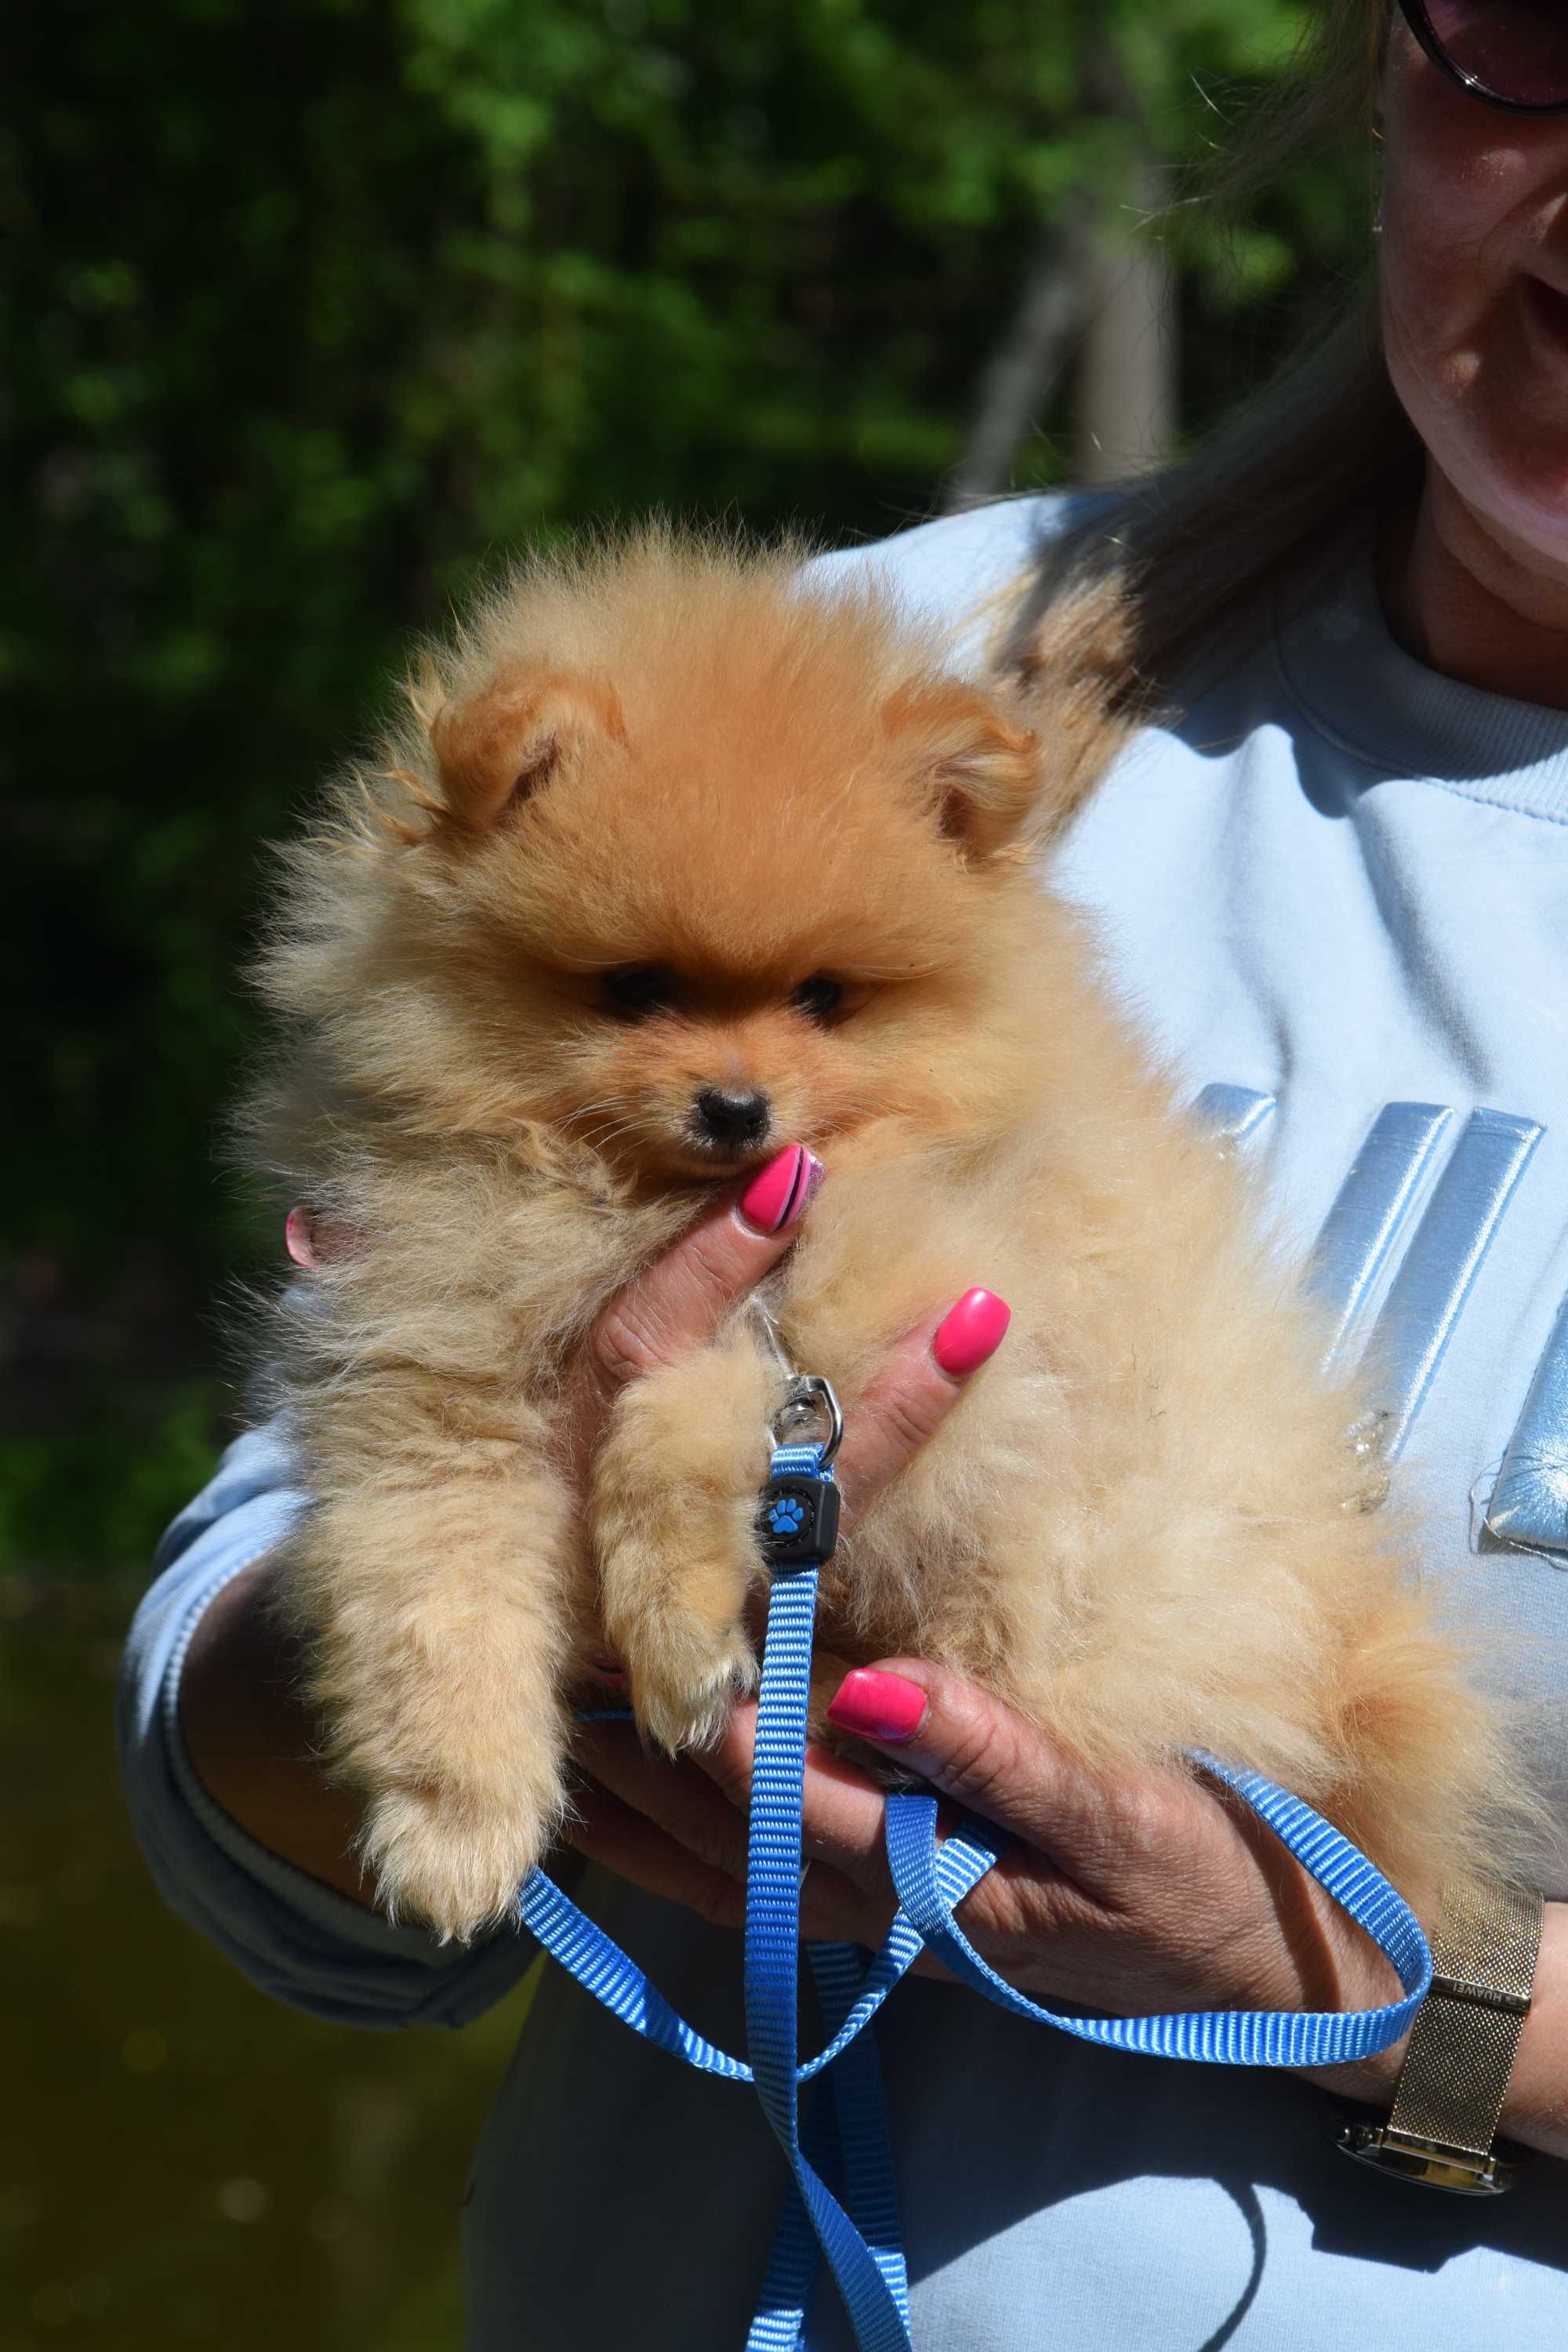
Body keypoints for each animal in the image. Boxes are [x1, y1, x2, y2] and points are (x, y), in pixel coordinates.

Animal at [245, 524, 1523, 1938]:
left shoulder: (932, 1333)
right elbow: (433, 1610)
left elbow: (679, 1422)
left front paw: (677, 1637)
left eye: (823, 998)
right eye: (634, 989)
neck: (632, 1204)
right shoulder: (431, 1388)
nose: (736, 1107)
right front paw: (454, 1832)